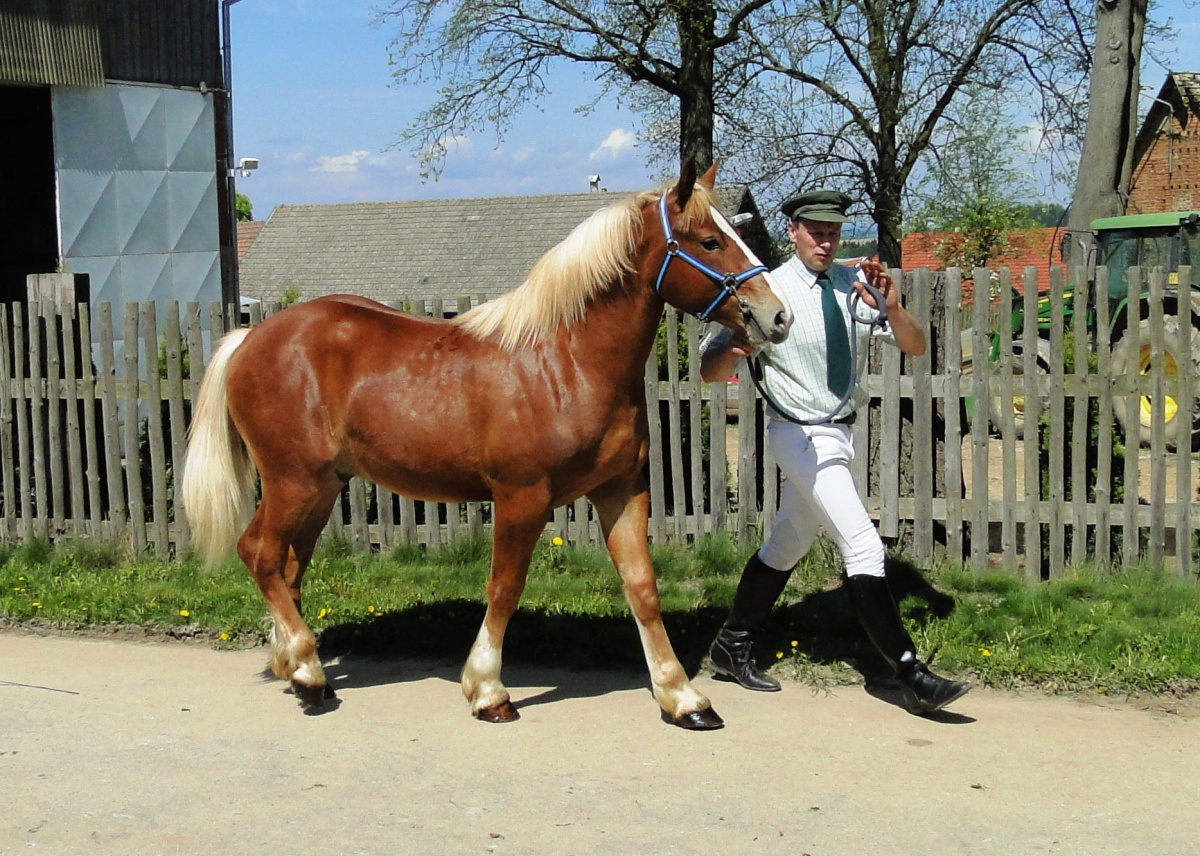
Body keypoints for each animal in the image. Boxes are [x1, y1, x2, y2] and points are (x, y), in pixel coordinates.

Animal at [181, 160, 792, 730]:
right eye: (709, 241)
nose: (777, 315)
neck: (566, 361)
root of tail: (249, 337)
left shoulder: (621, 491)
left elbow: (642, 588)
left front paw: (682, 697)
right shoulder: (522, 498)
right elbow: (504, 587)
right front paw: (488, 690)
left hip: (322, 487)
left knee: (287, 567)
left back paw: (298, 668)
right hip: (293, 481)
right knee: (259, 553)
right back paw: (307, 671)